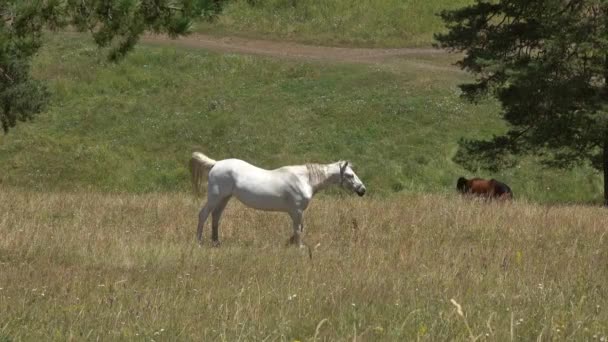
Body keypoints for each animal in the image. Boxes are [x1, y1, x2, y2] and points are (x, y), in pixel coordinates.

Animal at [188, 152, 366, 248]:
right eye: (350, 175)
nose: (362, 190)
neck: (305, 179)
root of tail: (216, 164)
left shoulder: (297, 212)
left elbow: (299, 229)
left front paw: (290, 243)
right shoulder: (297, 211)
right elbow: (298, 229)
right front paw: (299, 247)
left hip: (224, 198)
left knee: (216, 217)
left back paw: (216, 243)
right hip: (215, 197)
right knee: (203, 215)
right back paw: (198, 242)